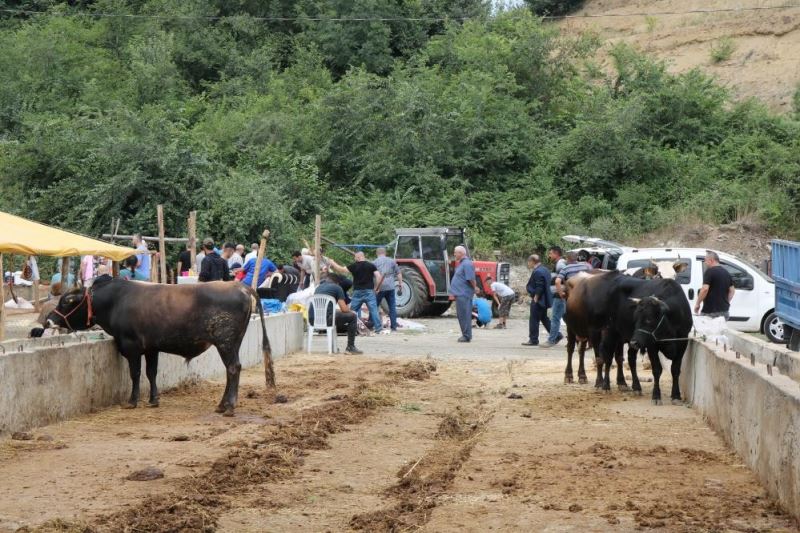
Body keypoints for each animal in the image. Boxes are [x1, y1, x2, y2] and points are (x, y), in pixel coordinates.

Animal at [47, 278, 272, 416]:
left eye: (66, 301)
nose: (49, 320)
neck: (116, 301)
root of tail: (240, 286)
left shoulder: (131, 346)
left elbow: (136, 373)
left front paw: (132, 401)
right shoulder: (151, 348)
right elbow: (151, 372)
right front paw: (154, 400)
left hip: (225, 343)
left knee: (233, 368)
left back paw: (229, 407)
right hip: (233, 343)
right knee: (231, 370)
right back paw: (221, 405)